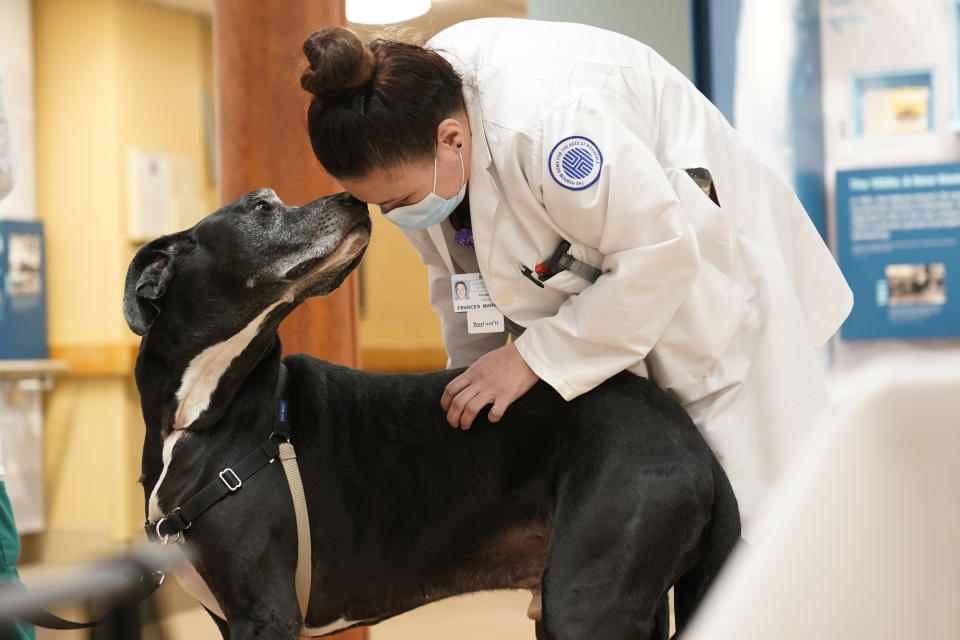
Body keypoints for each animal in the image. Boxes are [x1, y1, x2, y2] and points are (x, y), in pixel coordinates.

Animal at [125, 188, 744, 636]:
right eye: (260, 207)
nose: (353, 198)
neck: (199, 416)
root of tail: (692, 440)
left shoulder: (265, 613)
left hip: (586, 599)